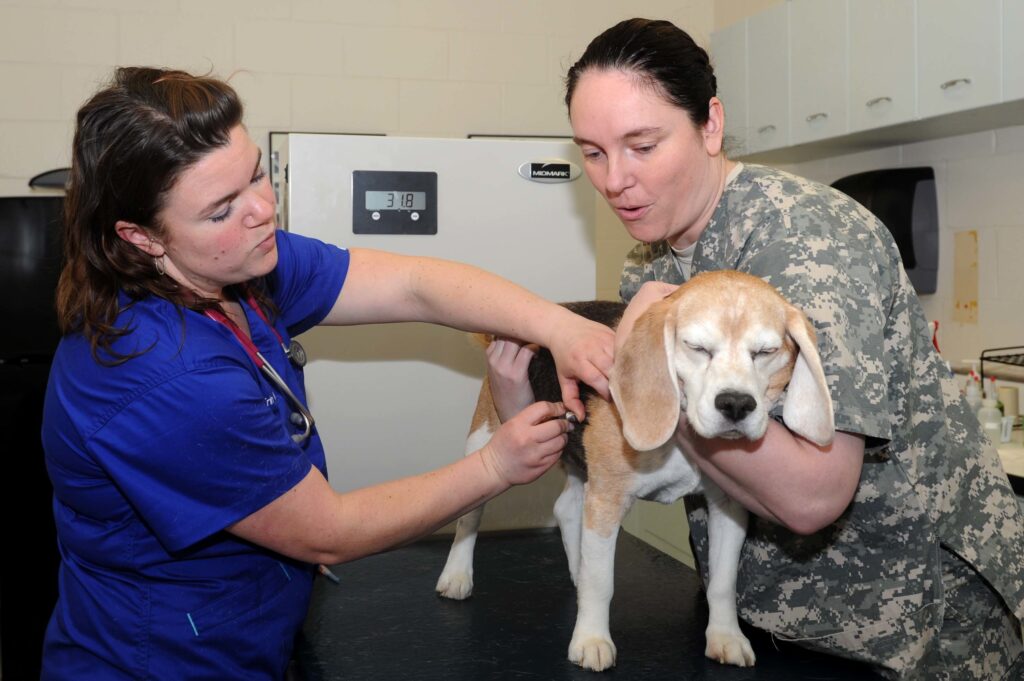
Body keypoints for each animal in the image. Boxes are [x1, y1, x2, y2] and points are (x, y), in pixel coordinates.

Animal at [436, 270, 835, 667]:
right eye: (697, 348)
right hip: (489, 437)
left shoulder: (728, 507)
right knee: (470, 515)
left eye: (766, 352)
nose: (736, 404)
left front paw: (725, 636)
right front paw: (591, 639)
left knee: (566, 509)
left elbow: (722, 583)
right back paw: (457, 574)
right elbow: (601, 582)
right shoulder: (607, 500)